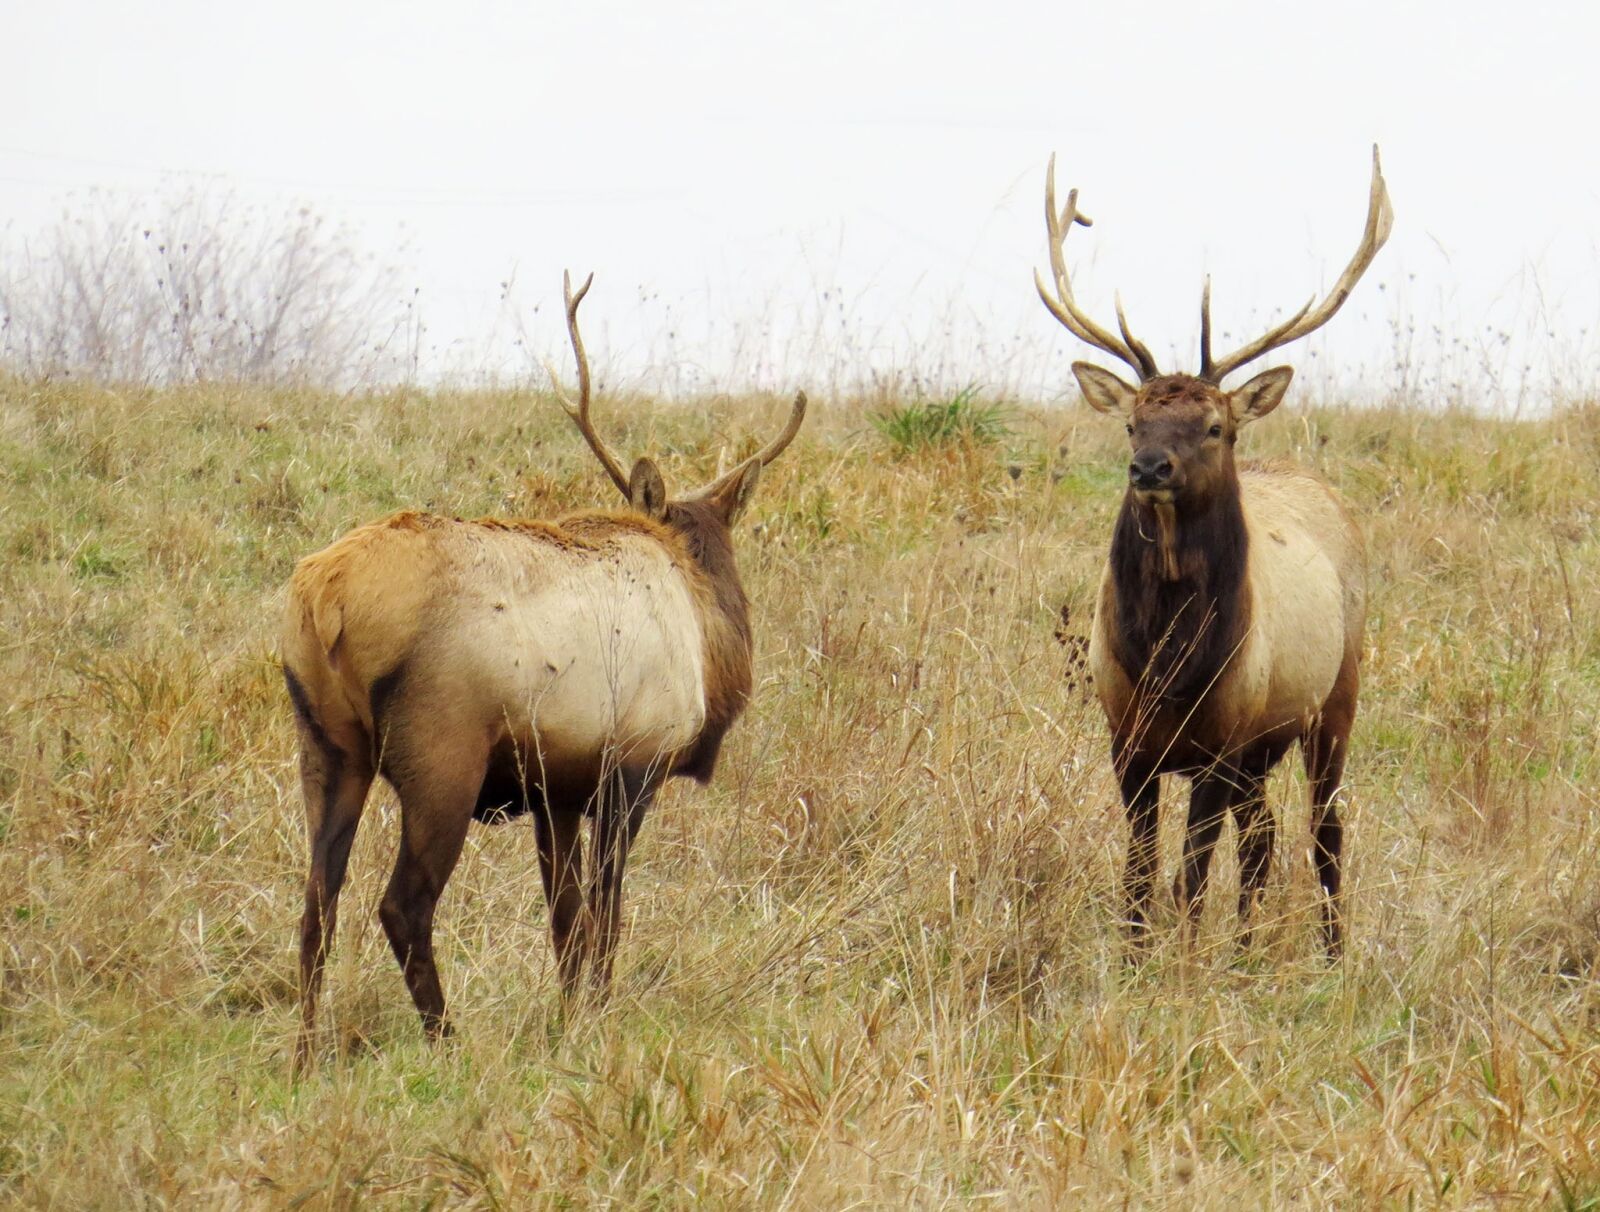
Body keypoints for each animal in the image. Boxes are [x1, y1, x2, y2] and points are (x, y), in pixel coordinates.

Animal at [281, 272, 806, 1068]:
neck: (702, 632)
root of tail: (325, 599)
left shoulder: (555, 787)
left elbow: (565, 918)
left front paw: (568, 1017)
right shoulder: (631, 769)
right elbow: (607, 911)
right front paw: (600, 1012)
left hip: (328, 746)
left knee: (317, 901)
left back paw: (307, 1054)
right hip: (441, 754)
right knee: (401, 905)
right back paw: (447, 1040)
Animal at [1036, 147, 1391, 958]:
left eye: (1213, 426)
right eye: (1132, 423)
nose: (1149, 469)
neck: (1168, 664)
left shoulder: (1221, 740)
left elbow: (1192, 875)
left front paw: (1182, 959)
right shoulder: (1128, 737)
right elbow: (1141, 868)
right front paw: (1136, 955)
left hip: (1335, 696)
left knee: (1324, 829)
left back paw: (1331, 953)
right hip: (1265, 742)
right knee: (1262, 836)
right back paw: (1246, 950)